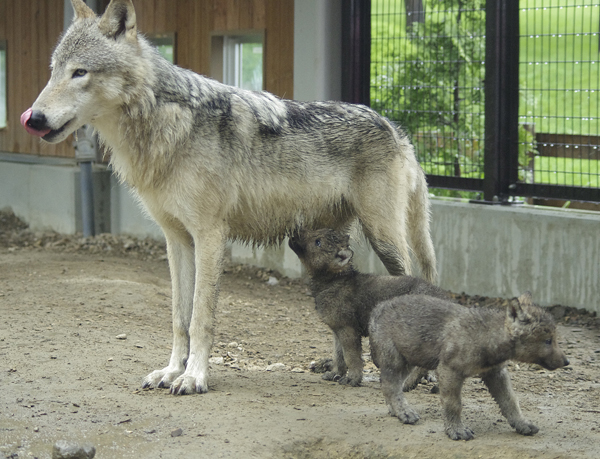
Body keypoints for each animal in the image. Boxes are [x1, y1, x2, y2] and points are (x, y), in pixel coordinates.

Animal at [288, 230, 448, 388]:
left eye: (318, 242)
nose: (293, 234)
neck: (335, 280)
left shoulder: (348, 329)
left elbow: (351, 357)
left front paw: (352, 379)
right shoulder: (337, 330)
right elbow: (338, 356)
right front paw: (335, 374)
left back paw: (407, 383)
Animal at [368, 292, 568, 440]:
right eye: (548, 340)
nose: (567, 362)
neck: (488, 337)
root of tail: (377, 308)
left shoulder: (496, 373)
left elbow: (510, 401)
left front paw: (522, 424)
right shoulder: (449, 370)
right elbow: (453, 404)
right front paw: (456, 430)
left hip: (408, 359)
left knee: (391, 385)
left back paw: (395, 410)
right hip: (395, 360)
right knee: (390, 386)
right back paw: (404, 412)